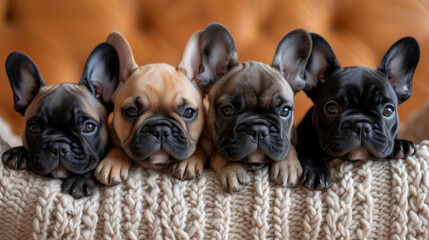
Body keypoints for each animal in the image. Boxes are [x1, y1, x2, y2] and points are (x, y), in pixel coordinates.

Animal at [94, 31, 207, 186]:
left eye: (189, 112)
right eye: (131, 111)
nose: (161, 130)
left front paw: (189, 161)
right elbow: (117, 147)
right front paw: (112, 162)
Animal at [192, 22, 310, 192]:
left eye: (285, 110)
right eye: (227, 110)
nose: (258, 130)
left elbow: (287, 147)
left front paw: (287, 165)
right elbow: (222, 155)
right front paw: (232, 169)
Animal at [296, 32, 420, 189]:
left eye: (388, 111)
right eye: (331, 108)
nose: (361, 126)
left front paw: (400, 145)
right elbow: (306, 149)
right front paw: (316, 170)